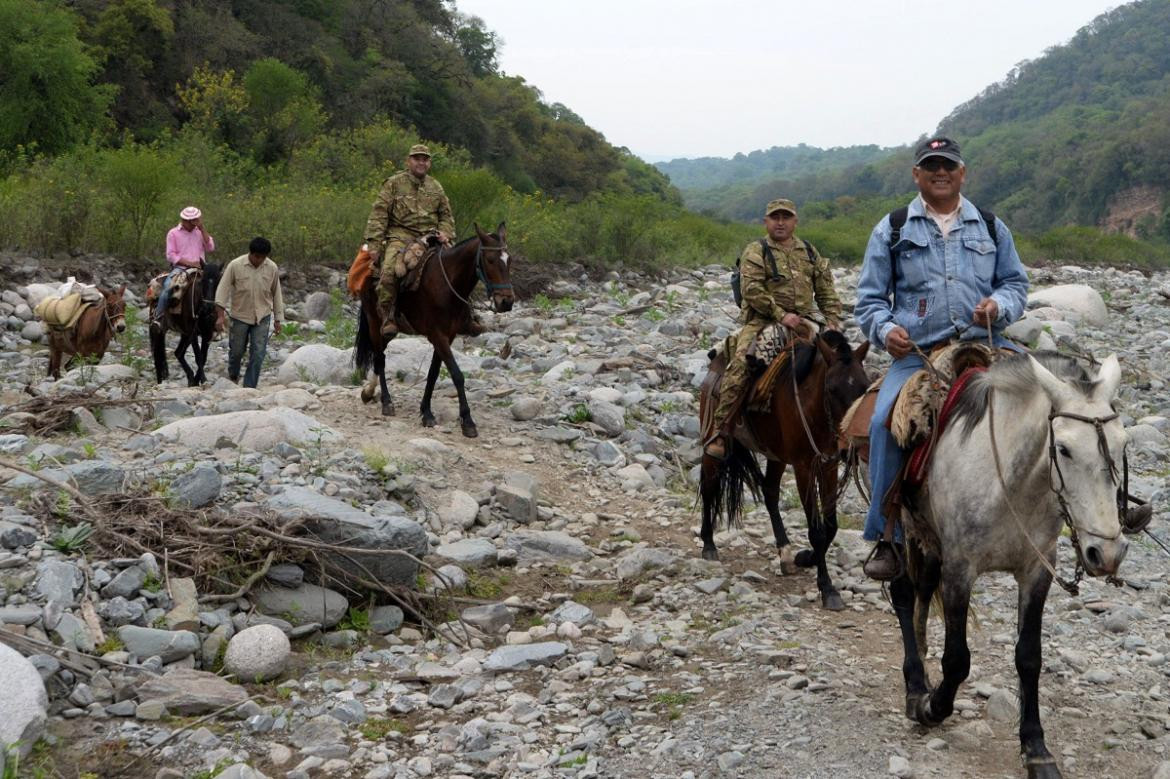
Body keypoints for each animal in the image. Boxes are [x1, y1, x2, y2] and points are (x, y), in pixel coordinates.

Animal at [353, 223, 514, 437]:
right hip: (374, 322)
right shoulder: (437, 335)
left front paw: (426, 412)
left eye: (509, 260)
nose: (506, 302)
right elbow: (457, 375)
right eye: (490, 260)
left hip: (388, 331)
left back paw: (368, 392)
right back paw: (386, 402)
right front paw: (467, 421)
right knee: (379, 359)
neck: (447, 285)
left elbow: (433, 373)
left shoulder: (448, 336)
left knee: (379, 356)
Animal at [692, 327, 870, 608]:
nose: (851, 449)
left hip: (776, 455)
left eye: (864, 387)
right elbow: (817, 531)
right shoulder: (803, 467)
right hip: (714, 439)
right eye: (831, 389)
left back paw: (785, 553)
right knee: (709, 485)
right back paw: (709, 544)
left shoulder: (828, 464)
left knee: (769, 492)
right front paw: (828, 589)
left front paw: (805, 557)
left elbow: (830, 526)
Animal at [889, 350, 1127, 776]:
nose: (1108, 554)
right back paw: (916, 689)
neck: (1011, 487)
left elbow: (1029, 657)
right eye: (1063, 448)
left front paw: (1036, 748)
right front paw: (934, 707)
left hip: (928, 539)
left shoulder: (1036, 571)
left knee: (920, 592)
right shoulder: (960, 570)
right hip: (897, 524)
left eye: (1122, 444)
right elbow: (957, 659)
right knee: (901, 592)